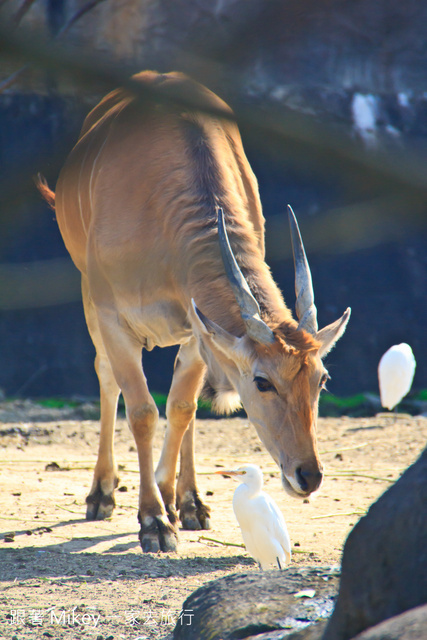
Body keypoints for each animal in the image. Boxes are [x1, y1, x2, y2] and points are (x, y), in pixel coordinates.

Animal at [36, 69, 352, 552]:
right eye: (262, 381)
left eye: (322, 380)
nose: (309, 476)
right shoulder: (113, 318)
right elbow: (142, 410)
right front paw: (152, 520)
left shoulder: (196, 325)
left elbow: (182, 407)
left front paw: (172, 503)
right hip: (90, 296)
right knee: (106, 377)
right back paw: (103, 493)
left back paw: (188, 503)